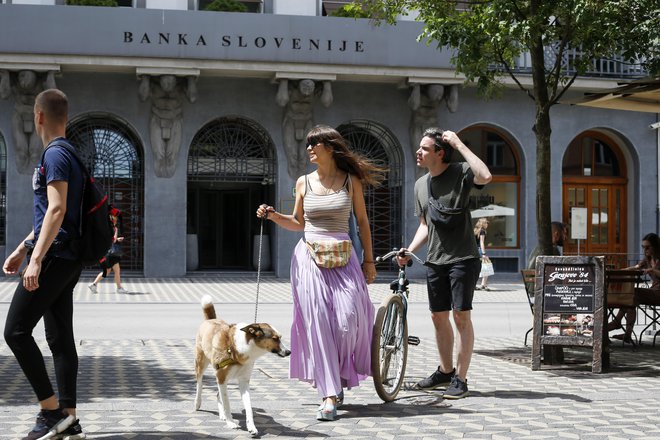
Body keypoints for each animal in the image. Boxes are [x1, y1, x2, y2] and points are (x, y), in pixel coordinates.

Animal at [193, 296, 292, 436]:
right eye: (275, 338)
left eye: (280, 338)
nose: (289, 352)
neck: (237, 349)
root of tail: (211, 319)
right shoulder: (221, 377)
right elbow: (227, 403)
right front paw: (230, 422)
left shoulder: (243, 381)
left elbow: (248, 406)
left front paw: (251, 427)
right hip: (202, 364)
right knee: (200, 384)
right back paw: (198, 403)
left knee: (218, 394)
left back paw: (222, 415)